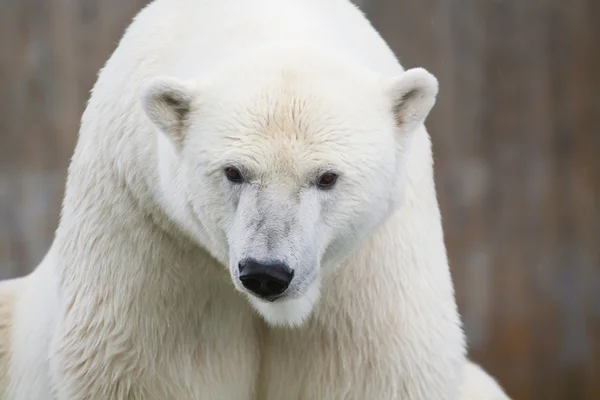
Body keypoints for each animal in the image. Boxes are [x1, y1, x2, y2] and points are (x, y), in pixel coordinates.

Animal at [0, 0, 510, 400]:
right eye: (234, 172)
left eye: (327, 177)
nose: (267, 272)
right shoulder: (150, 235)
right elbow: (151, 370)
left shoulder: (371, 270)